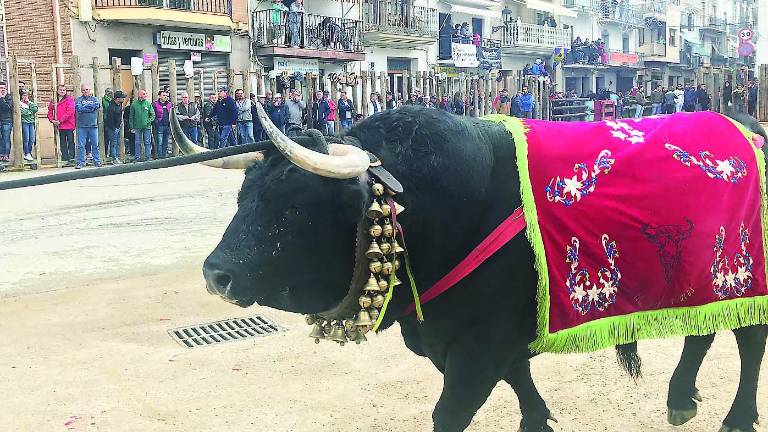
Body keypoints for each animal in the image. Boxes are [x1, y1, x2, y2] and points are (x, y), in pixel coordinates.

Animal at [200, 105, 768, 432]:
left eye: (295, 205)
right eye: (243, 194)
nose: (215, 275)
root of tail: (747, 127)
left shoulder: (478, 348)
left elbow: (451, 412)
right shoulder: (482, 338)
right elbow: (520, 380)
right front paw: (537, 422)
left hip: (746, 278)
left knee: (750, 342)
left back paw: (737, 419)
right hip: (704, 281)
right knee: (704, 331)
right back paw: (680, 398)